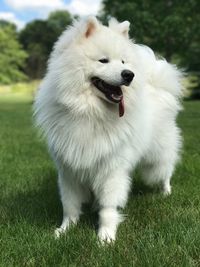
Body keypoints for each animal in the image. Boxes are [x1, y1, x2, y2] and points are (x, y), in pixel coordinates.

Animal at [34, 16, 183, 243]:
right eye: (103, 60)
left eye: (123, 62)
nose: (129, 74)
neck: (89, 112)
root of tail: (157, 87)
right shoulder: (69, 169)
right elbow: (70, 205)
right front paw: (64, 230)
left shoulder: (112, 169)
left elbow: (108, 207)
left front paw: (105, 237)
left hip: (156, 157)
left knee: (165, 171)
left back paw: (166, 192)